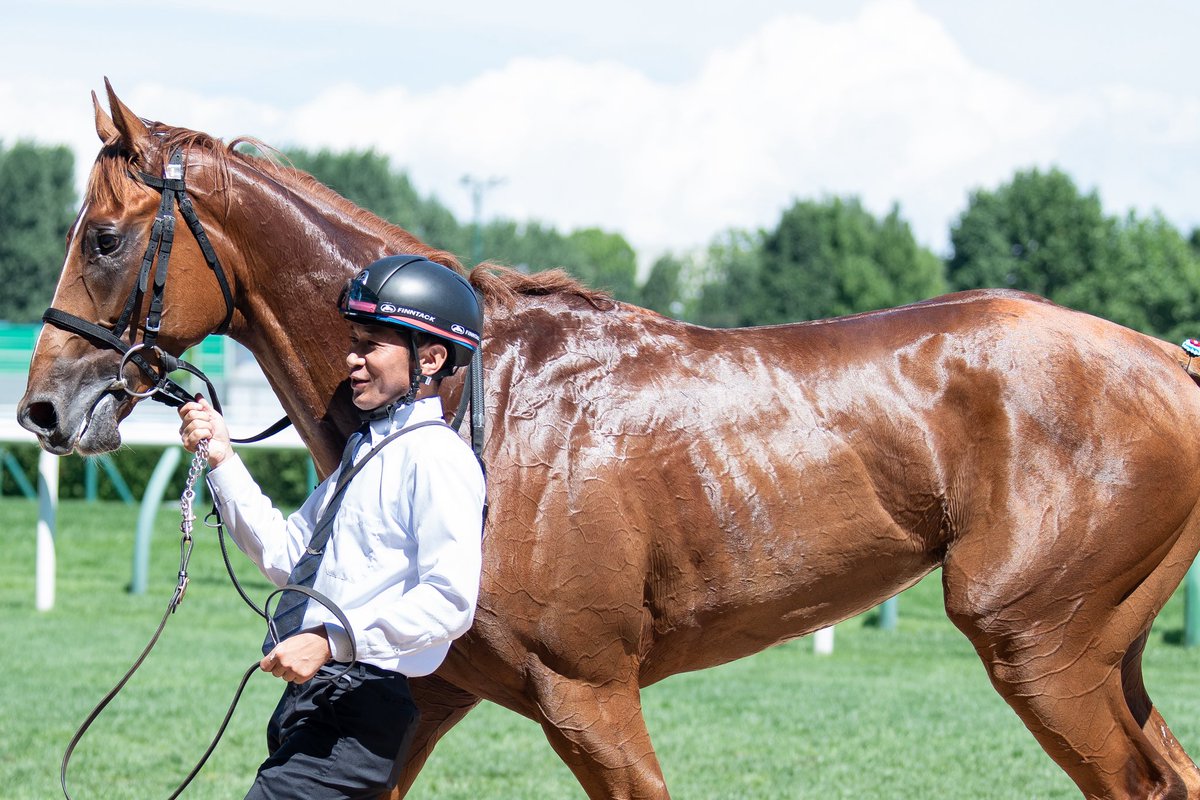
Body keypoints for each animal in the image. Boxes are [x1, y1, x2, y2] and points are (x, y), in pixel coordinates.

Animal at [18, 82, 1200, 799]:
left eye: (106, 237)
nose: (41, 411)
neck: (479, 406)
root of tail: (1168, 358)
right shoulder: (428, 686)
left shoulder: (588, 694)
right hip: (1099, 655)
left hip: (1043, 649)